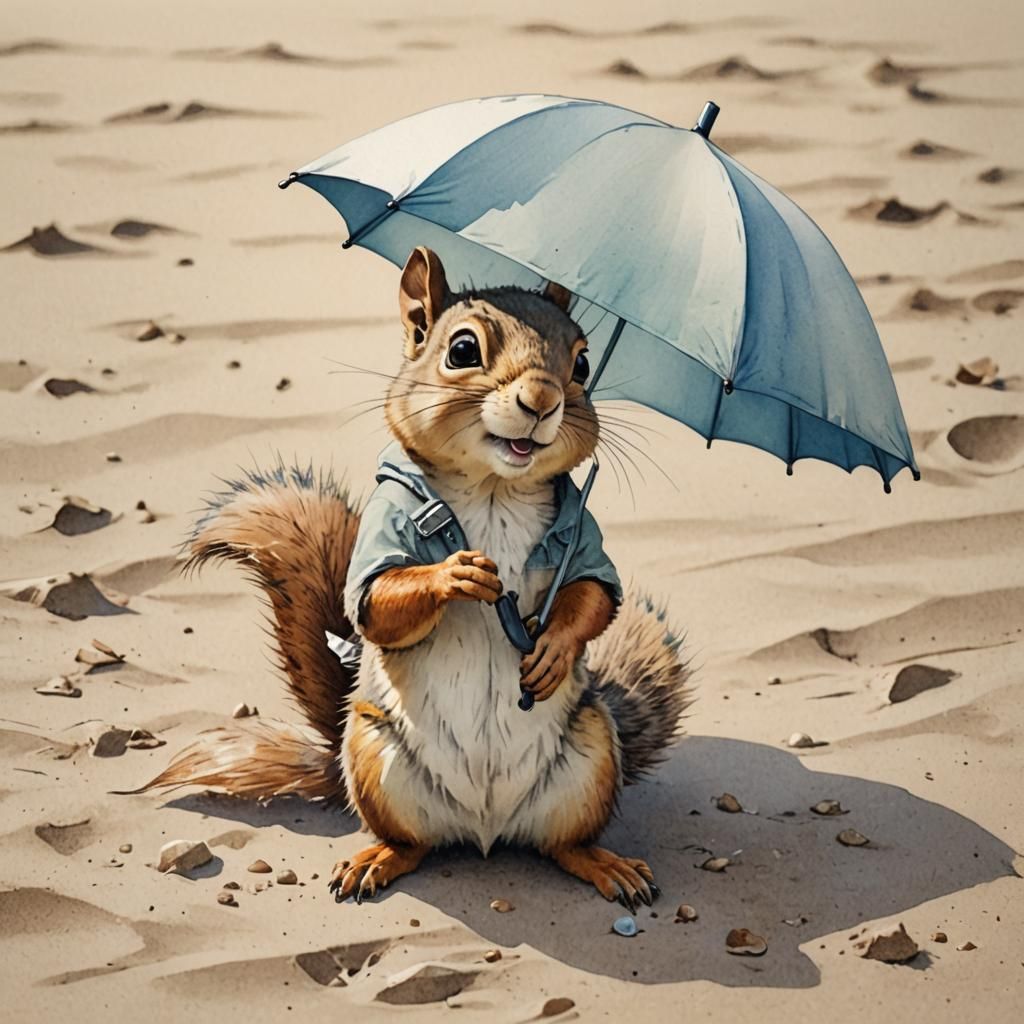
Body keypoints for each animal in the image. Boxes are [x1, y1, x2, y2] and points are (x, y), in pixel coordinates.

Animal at [140, 246, 692, 909]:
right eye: (462, 350)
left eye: (583, 364)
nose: (541, 398)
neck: (495, 488)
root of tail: (486, 831)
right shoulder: (387, 527)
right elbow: (378, 603)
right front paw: (457, 572)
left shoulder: (581, 531)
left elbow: (592, 593)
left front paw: (553, 649)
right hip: (375, 755)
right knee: (412, 842)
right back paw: (375, 860)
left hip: (591, 756)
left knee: (563, 843)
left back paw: (607, 866)